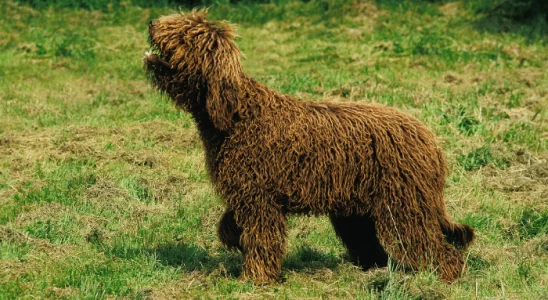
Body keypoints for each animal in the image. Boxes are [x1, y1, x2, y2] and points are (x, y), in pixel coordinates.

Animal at [143, 9, 474, 284]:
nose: (152, 22)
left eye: (185, 34)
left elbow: (262, 239)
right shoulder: (245, 193)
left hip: (404, 207)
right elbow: (231, 224)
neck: (236, 115)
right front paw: (233, 238)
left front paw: (256, 279)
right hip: (356, 210)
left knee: (435, 248)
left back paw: (443, 278)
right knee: (374, 247)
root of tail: (429, 138)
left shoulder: (260, 199)